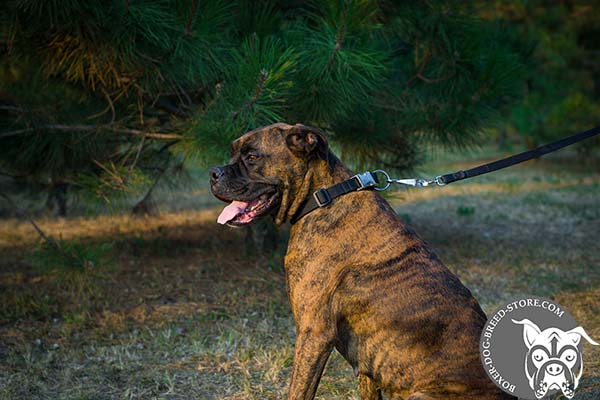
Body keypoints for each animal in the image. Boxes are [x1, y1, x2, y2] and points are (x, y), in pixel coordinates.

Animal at [209, 122, 512, 400]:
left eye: (251, 157)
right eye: (234, 153)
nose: (213, 173)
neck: (322, 197)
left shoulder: (314, 333)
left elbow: (299, 391)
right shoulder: (368, 364)